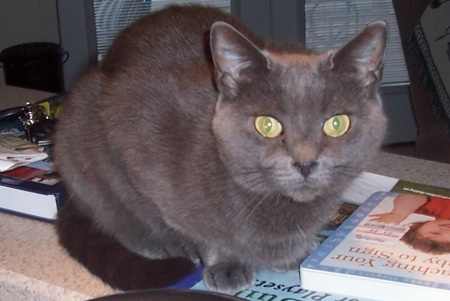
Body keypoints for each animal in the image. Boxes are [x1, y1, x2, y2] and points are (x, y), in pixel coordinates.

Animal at [53, 4, 386, 292]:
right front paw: (226, 263)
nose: (305, 163)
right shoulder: (139, 142)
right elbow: (199, 227)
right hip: (78, 130)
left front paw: (296, 253)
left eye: (337, 124)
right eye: (267, 125)